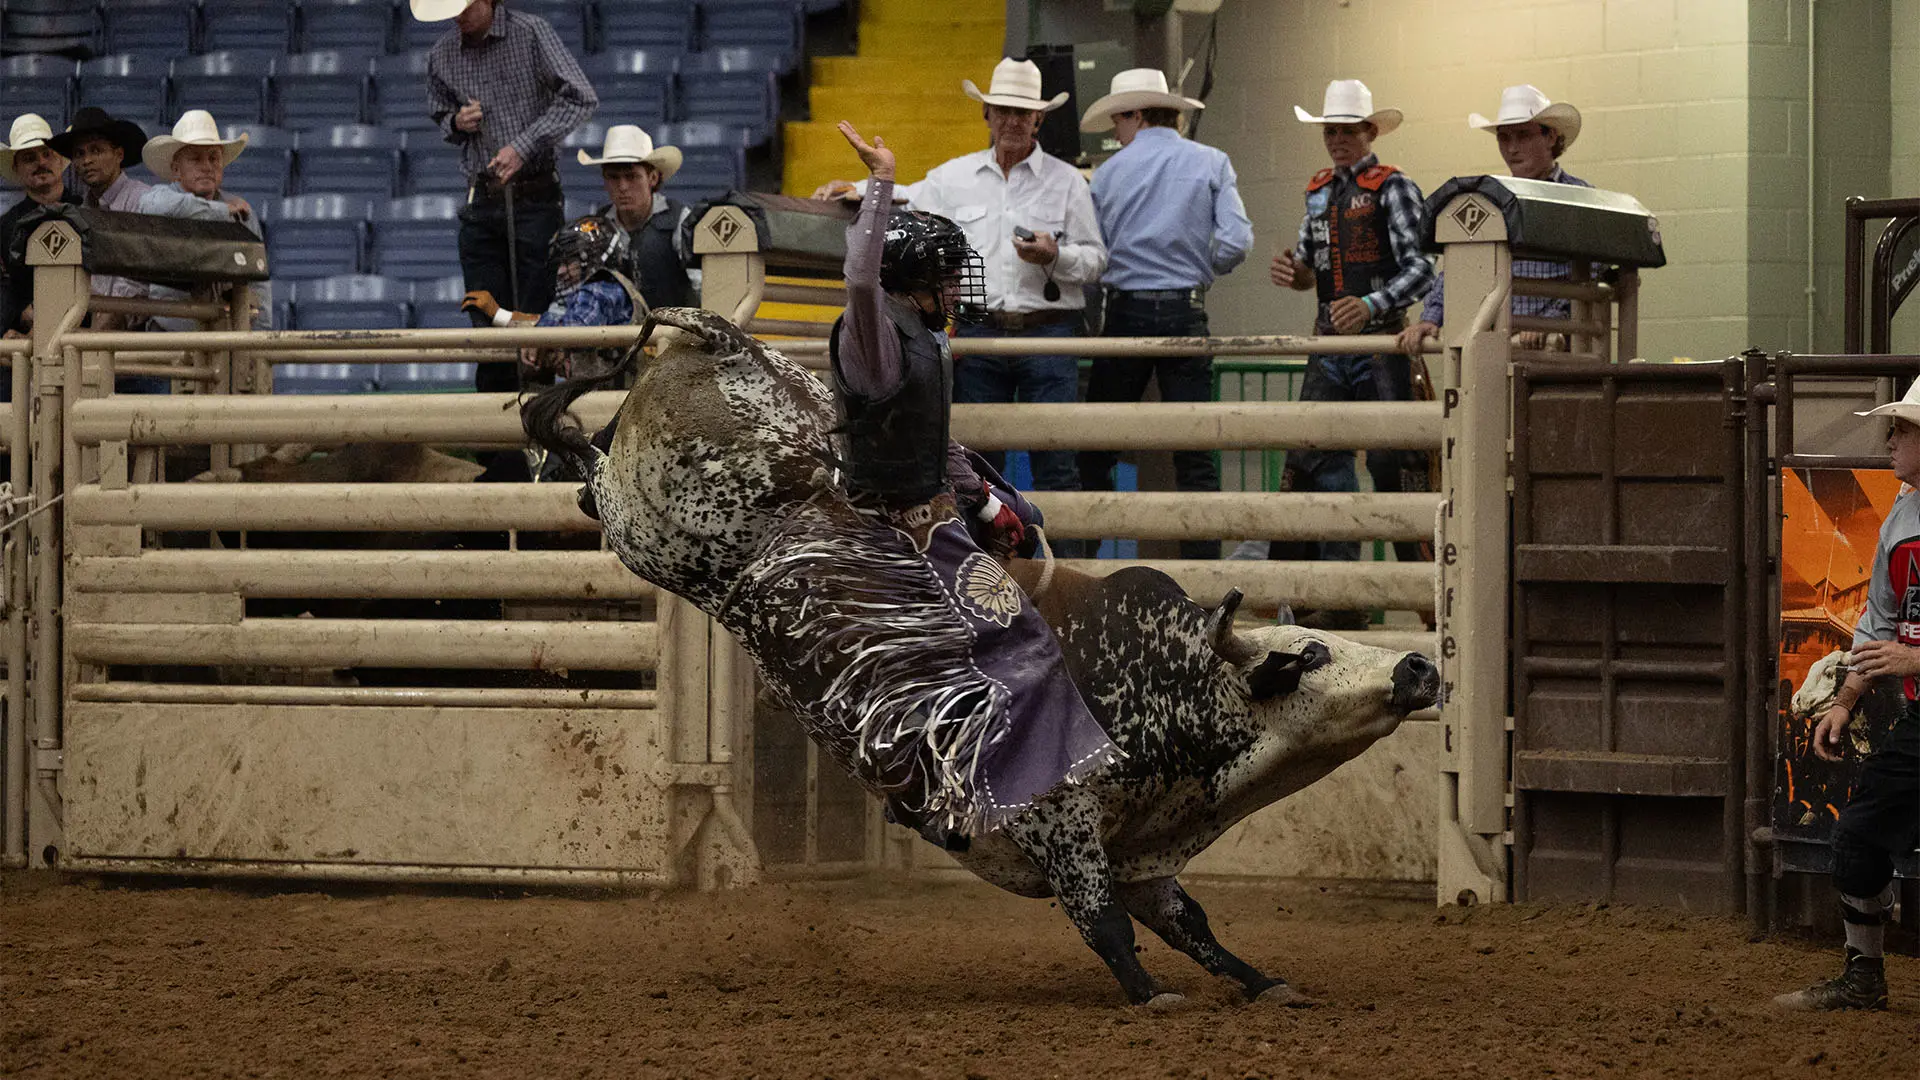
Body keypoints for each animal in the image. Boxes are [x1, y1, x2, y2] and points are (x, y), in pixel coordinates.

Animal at [518, 307, 1436, 1006]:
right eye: (1308, 653)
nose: (1417, 668)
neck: (1150, 688)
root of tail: (728, 341)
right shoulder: (1059, 822)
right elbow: (1101, 921)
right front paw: (1152, 997)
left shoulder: (1142, 855)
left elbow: (1192, 926)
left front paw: (1263, 982)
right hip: (655, 534)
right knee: (589, 471)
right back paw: (561, 426)